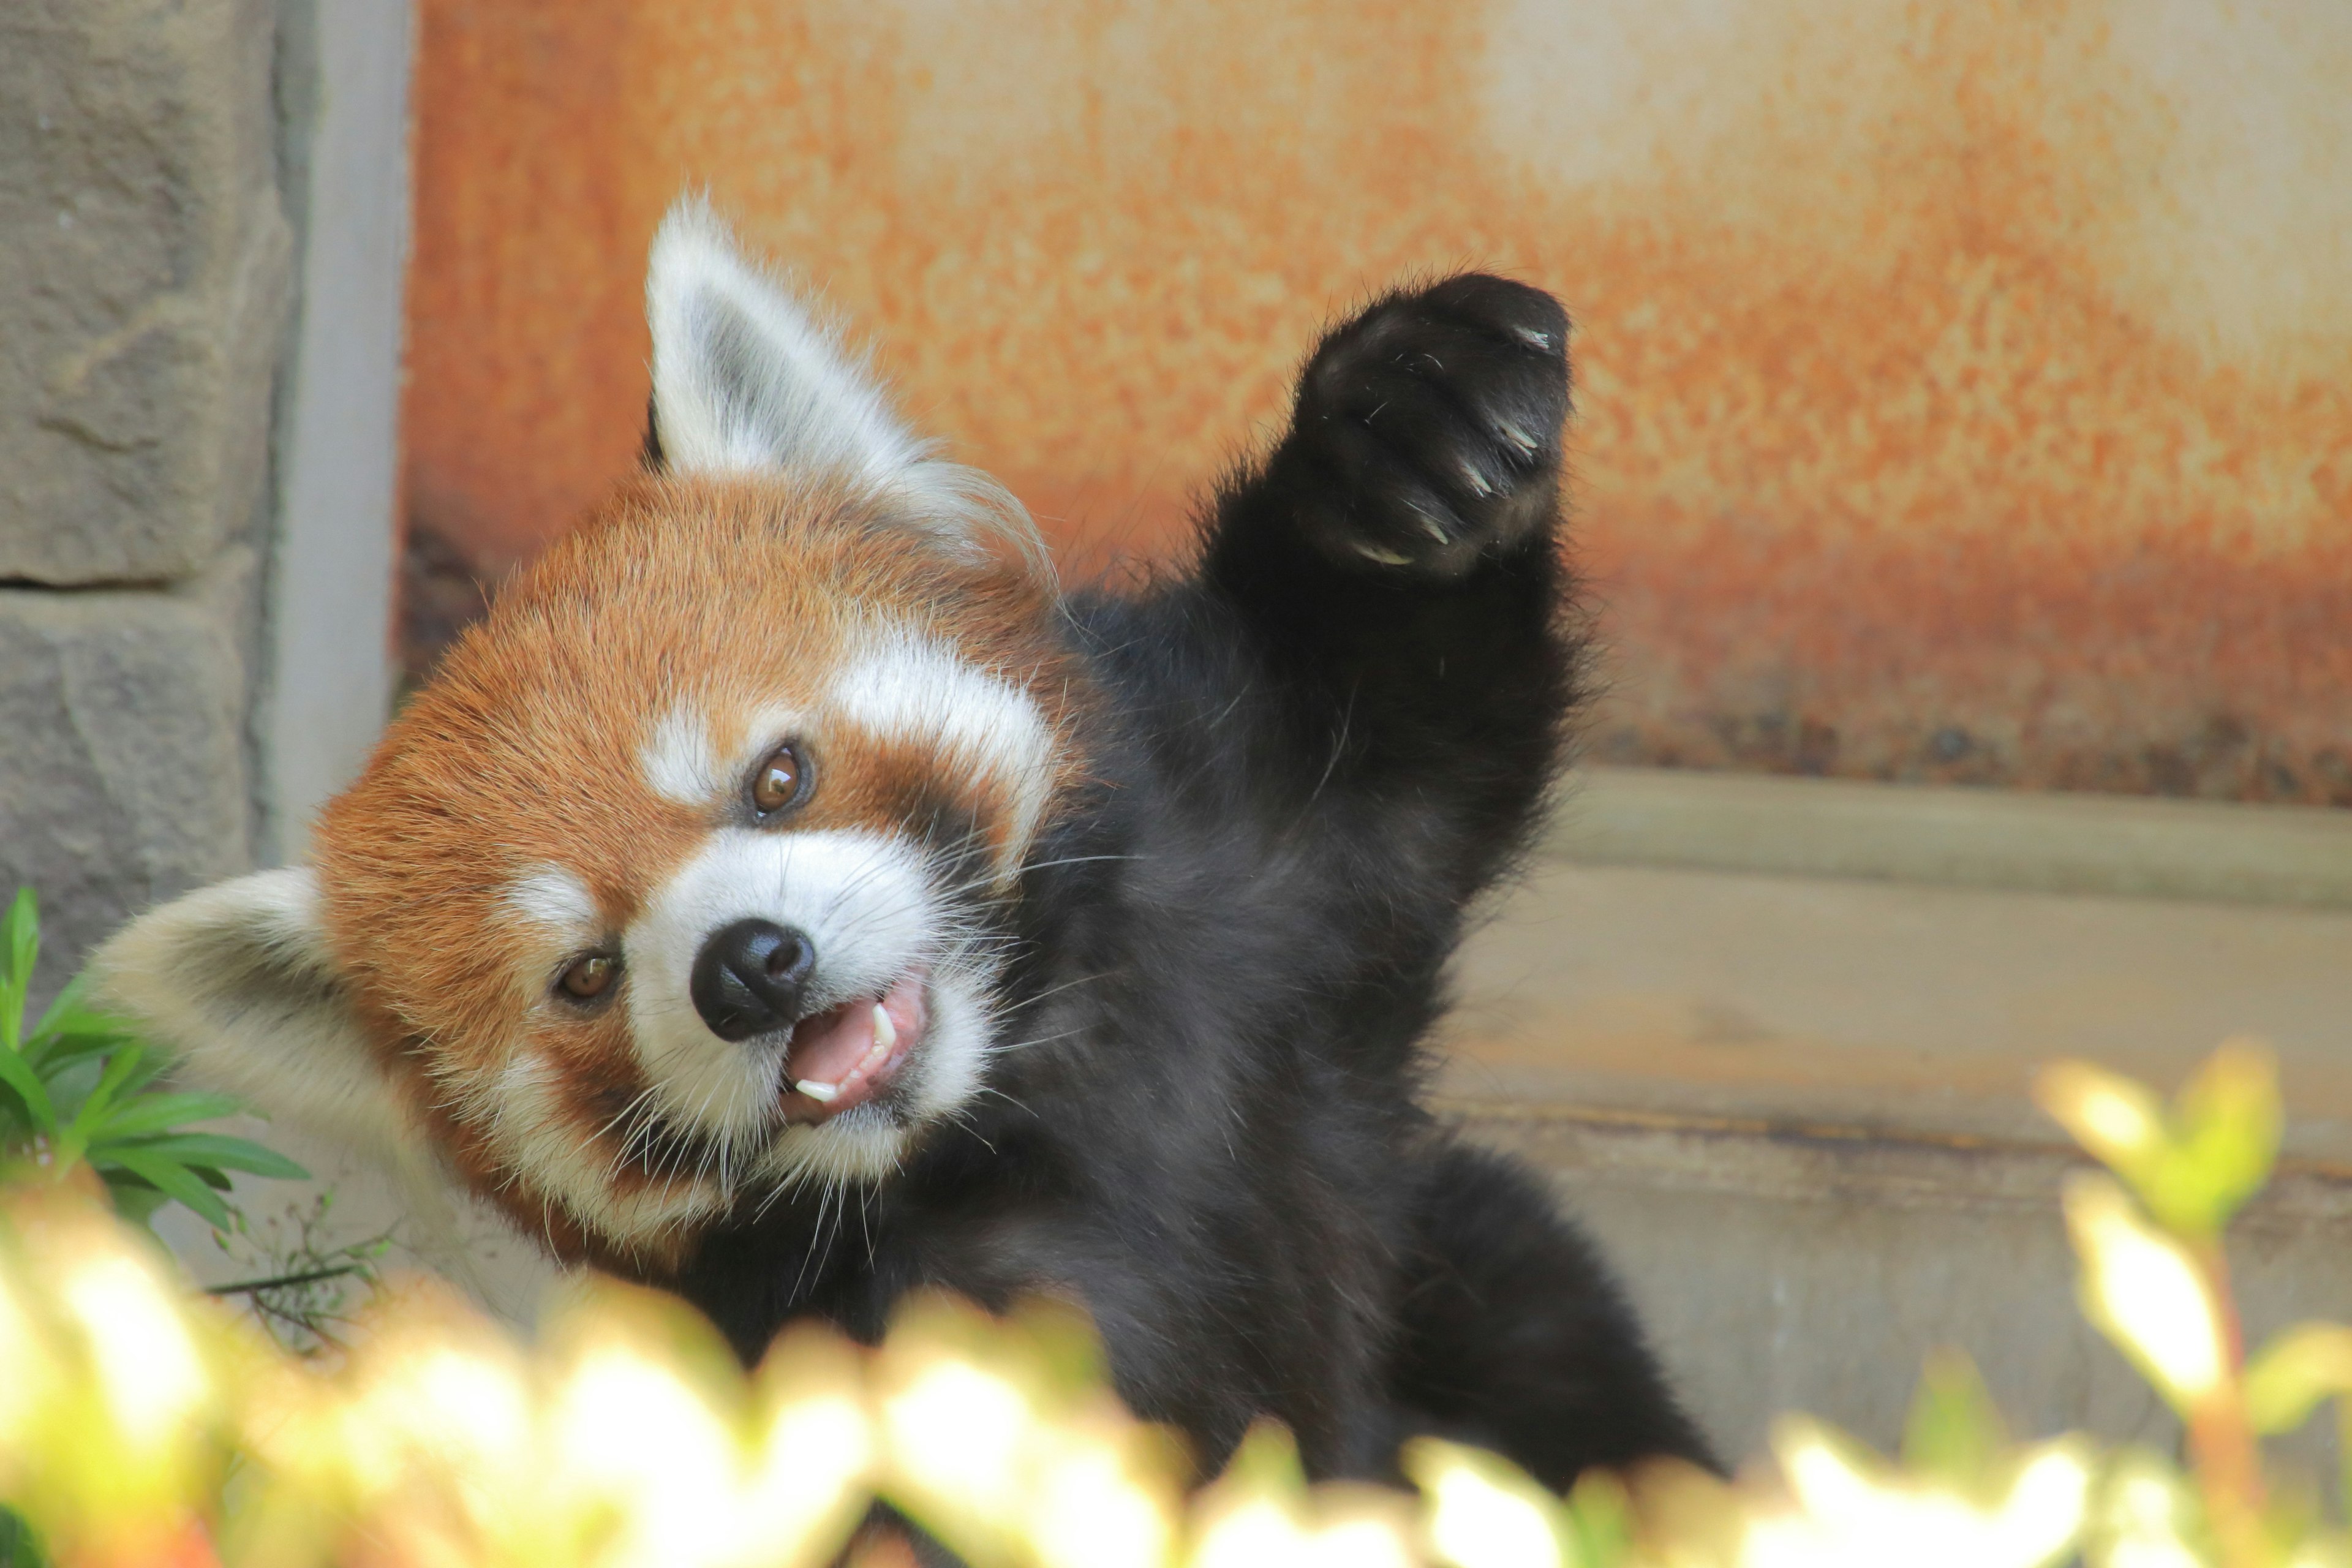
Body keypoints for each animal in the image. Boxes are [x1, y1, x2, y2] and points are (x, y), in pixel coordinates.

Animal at [96, 202, 1712, 1495]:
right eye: (584, 973)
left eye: (778, 776)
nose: (748, 966)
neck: (1004, 1103)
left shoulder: (1269, 875)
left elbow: (1411, 719)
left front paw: (1413, 426)